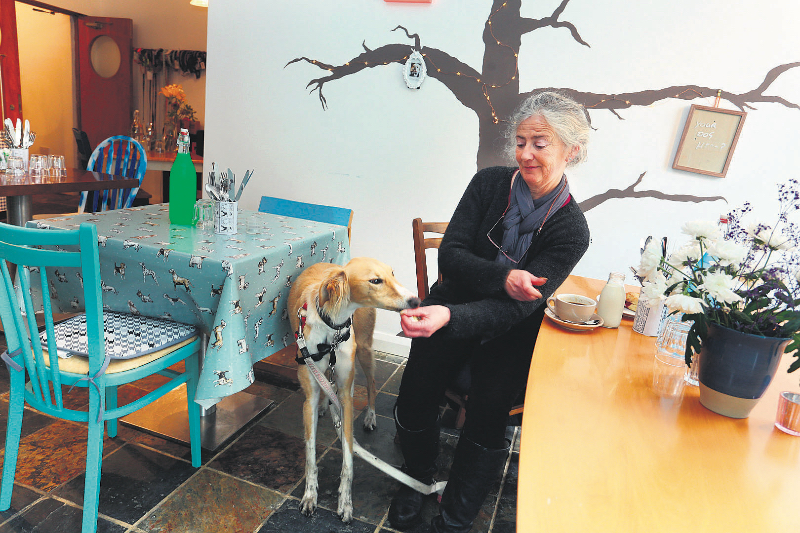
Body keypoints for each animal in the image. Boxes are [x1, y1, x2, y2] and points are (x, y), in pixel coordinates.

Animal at [288, 257, 420, 523]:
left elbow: (348, 458)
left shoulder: (346, 397)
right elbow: (310, 455)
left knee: (372, 384)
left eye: (392, 273)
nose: (416, 301)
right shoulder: (309, 396)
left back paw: (370, 416)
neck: (331, 328)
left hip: (365, 349)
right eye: (375, 280)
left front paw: (345, 503)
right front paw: (309, 496)